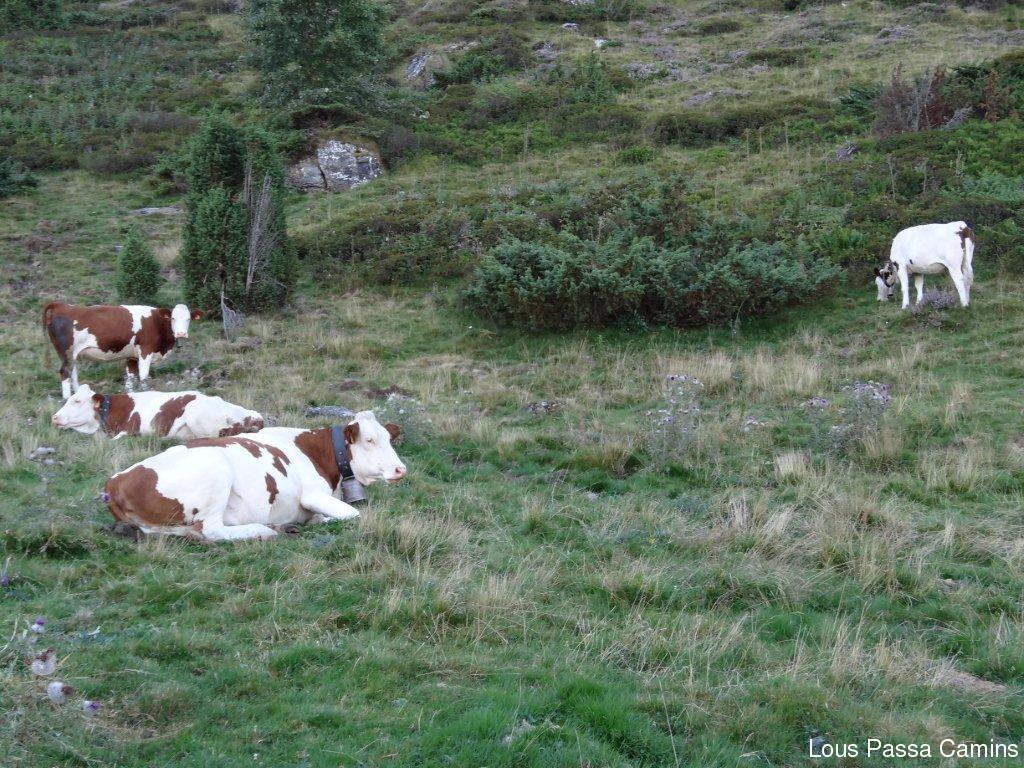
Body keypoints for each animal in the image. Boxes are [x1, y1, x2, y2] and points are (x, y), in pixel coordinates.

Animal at [42, 302, 202, 400]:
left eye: (188, 319)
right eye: (173, 318)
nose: (181, 334)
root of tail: (61, 305)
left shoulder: (132, 355)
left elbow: (130, 378)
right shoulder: (146, 351)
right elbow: (144, 376)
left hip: (72, 355)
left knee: (73, 373)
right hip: (66, 352)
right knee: (65, 372)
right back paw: (67, 398)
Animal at [102, 411, 406, 542]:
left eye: (389, 439)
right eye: (369, 440)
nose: (400, 469)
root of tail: (116, 481)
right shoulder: (312, 494)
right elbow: (353, 514)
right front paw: (315, 522)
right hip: (216, 470)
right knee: (211, 531)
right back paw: (265, 530)